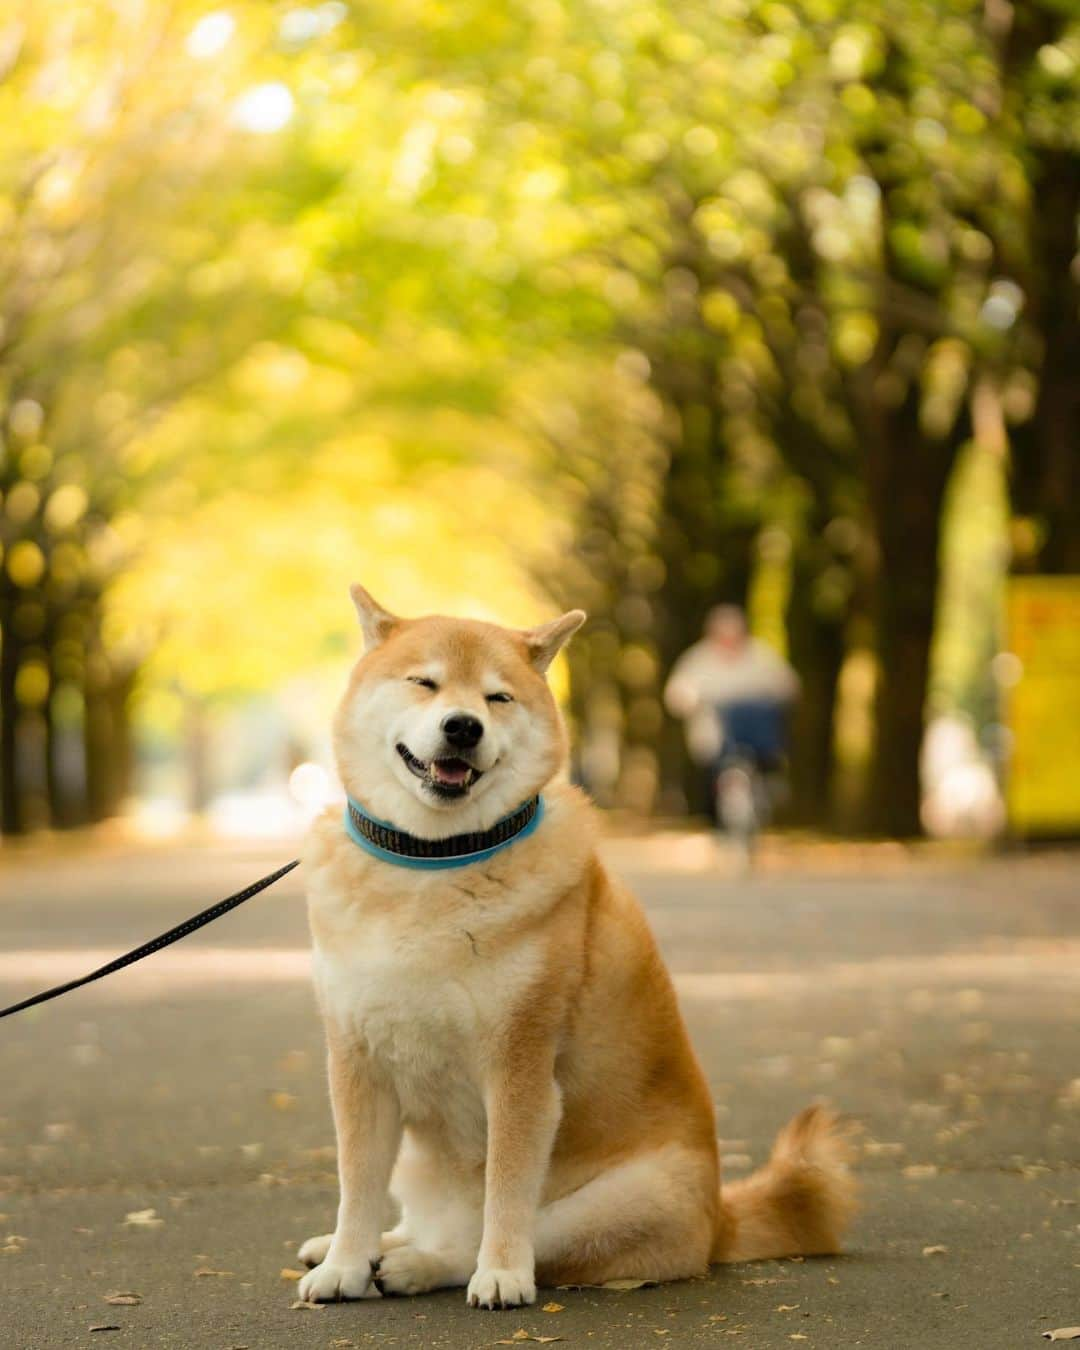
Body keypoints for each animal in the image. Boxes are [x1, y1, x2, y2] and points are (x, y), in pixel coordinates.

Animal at [297, 588, 858, 1306]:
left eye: (498, 697)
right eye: (424, 682)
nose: (463, 727)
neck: (433, 862)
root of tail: (719, 1222)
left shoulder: (520, 1063)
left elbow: (505, 1188)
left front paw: (501, 1275)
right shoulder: (357, 1059)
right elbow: (356, 1181)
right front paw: (343, 1263)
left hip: (607, 1204)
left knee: (477, 1244)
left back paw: (418, 1265)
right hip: (422, 1166)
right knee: (420, 1221)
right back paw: (369, 1249)